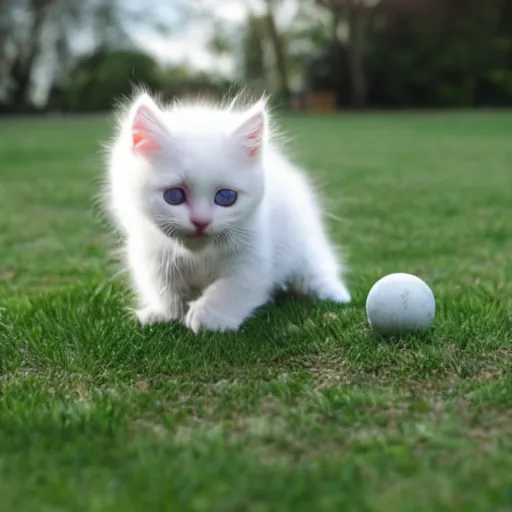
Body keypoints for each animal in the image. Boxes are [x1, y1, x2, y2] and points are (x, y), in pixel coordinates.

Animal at [105, 91, 350, 332]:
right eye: (174, 195)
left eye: (226, 197)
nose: (201, 221)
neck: (199, 255)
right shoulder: (151, 251)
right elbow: (164, 287)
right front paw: (164, 313)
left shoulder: (253, 253)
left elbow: (232, 288)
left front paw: (208, 317)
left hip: (304, 247)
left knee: (316, 272)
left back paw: (336, 294)